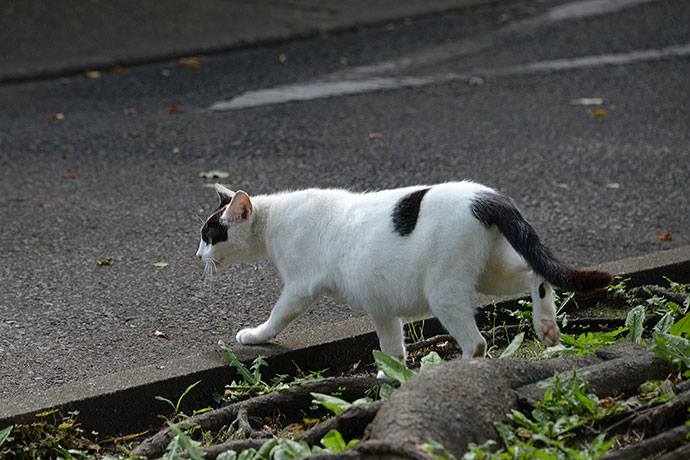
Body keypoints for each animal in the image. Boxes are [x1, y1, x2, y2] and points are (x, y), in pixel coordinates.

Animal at [196, 181, 612, 362]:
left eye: (209, 236)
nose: (197, 254)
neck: (274, 220)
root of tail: (488, 196)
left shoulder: (299, 287)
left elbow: (277, 316)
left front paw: (253, 336)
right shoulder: (381, 305)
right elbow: (392, 347)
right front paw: (392, 380)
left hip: (444, 291)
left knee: (477, 343)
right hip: (492, 274)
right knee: (537, 272)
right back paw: (547, 326)